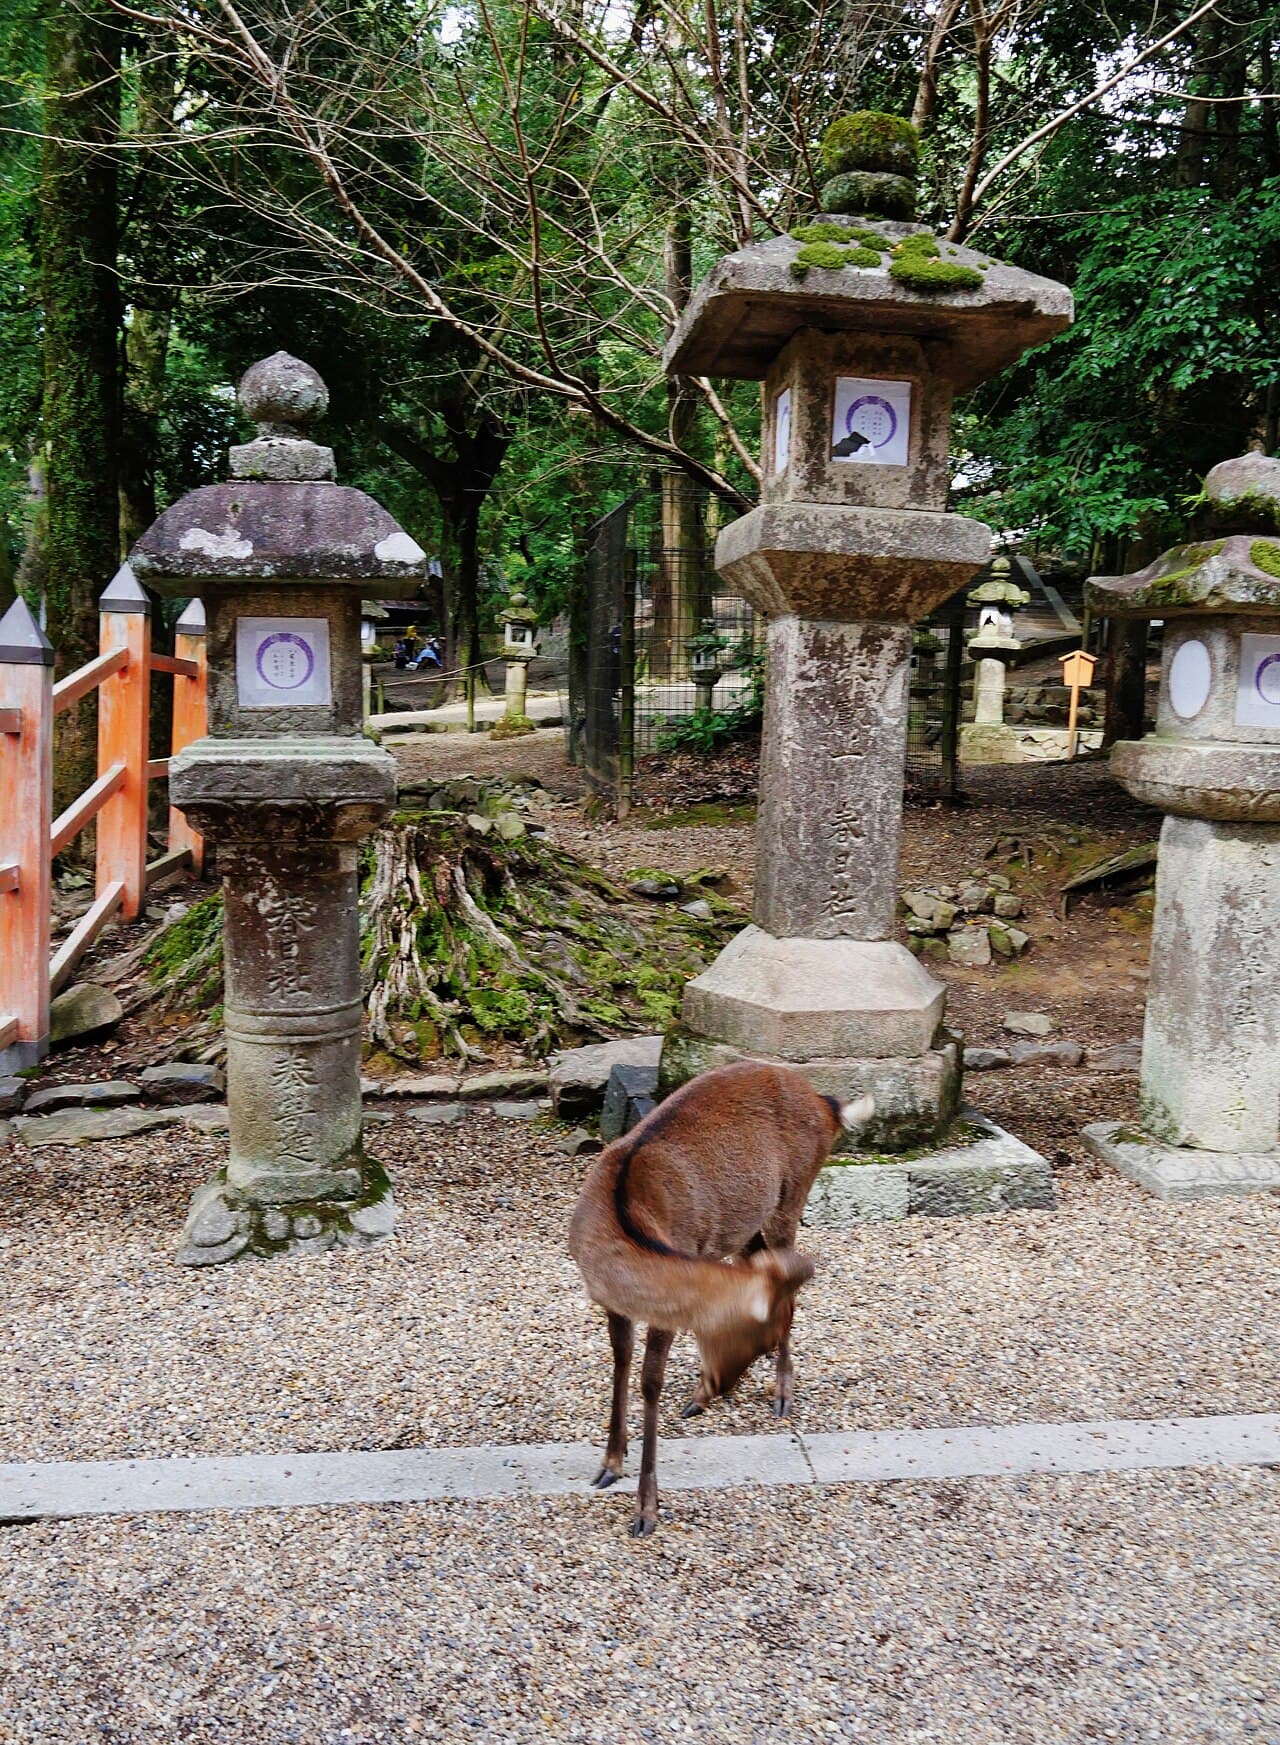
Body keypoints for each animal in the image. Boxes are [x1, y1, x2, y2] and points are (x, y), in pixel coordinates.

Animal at [568, 1059, 874, 1537]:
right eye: (745, 1336)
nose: (720, 1383)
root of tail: (826, 1102)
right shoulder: (612, 1304)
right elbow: (620, 1366)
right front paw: (609, 1465)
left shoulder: (666, 1308)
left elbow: (649, 1382)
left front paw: (646, 1510)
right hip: (746, 1225)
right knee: (762, 1264)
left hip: (792, 1194)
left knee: (788, 1278)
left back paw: (780, 1394)